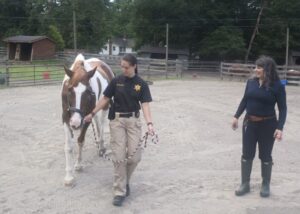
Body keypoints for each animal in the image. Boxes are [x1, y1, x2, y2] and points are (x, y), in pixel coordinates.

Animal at [61, 53, 113, 186]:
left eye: (88, 92)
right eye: (69, 90)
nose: (75, 123)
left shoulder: (86, 119)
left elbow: (80, 140)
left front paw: (79, 164)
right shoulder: (66, 119)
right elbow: (68, 147)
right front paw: (68, 176)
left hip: (105, 106)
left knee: (102, 124)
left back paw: (101, 146)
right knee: (98, 123)